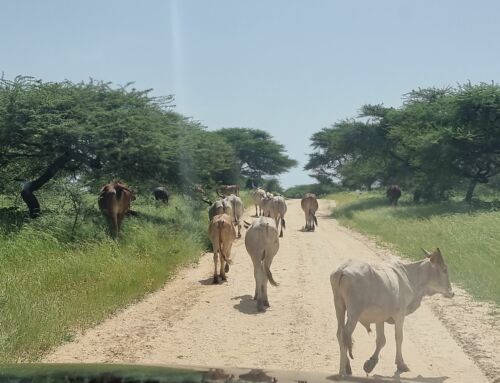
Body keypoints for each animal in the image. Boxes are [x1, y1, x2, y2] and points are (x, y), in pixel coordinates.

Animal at [330, 248, 456, 376]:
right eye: (444, 270)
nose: (452, 293)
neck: (410, 277)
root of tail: (343, 270)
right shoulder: (400, 315)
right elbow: (399, 338)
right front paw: (401, 364)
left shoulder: (379, 318)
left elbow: (381, 340)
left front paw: (371, 363)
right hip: (354, 313)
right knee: (345, 335)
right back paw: (342, 372)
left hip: (339, 305)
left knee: (340, 334)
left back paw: (347, 367)